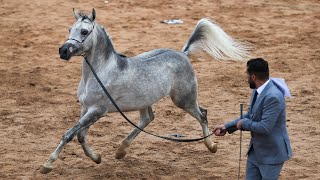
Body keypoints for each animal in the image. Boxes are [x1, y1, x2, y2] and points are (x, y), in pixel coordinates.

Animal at [40, 9, 250, 174]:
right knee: (148, 119)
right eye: (70, 30)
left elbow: (69, 134)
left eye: (84, 31)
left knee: (203, 114)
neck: (101, 72)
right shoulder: (86, 109)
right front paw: (97, 158)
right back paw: (121, 151)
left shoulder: (97, 110)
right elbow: (80, 135)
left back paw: (211, 146)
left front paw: (47, 165)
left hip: (184, 100)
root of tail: (183, 54)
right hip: (145, 102)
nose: (63, 51)